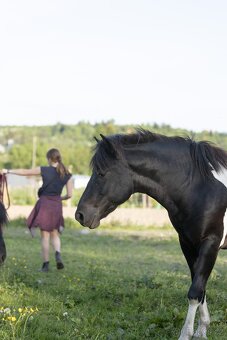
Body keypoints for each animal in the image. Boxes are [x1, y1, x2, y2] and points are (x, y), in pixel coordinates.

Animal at [75, 129, 227, 338]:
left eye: (101, 173)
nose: (80, 215)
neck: (200, 187)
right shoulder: (188, 243)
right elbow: (199, 285)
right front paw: (202, 330)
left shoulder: (211, 243)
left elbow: (195, 291)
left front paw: (186, 334)